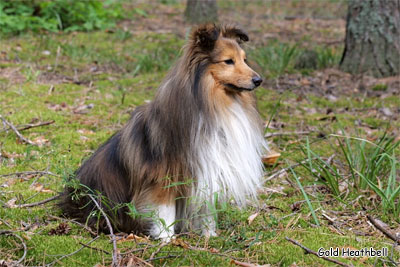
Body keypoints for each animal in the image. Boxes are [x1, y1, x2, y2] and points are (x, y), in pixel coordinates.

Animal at [59, 23, 268, 241]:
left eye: (244, 59)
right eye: (228, 61)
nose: (259, 80)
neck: (213, 104)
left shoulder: (208, 168)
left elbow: (206, 208)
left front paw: (209, 234)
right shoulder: (163, 175)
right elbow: (165, 209)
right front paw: (166, 238)